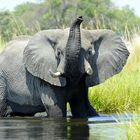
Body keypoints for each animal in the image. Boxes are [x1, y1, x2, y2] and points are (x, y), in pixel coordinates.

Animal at [0, 16, 130, 118]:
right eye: (58, 53)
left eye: (89, 52)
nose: (80, 18)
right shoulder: (46, 80)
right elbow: (55, 109)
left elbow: (80, 107)